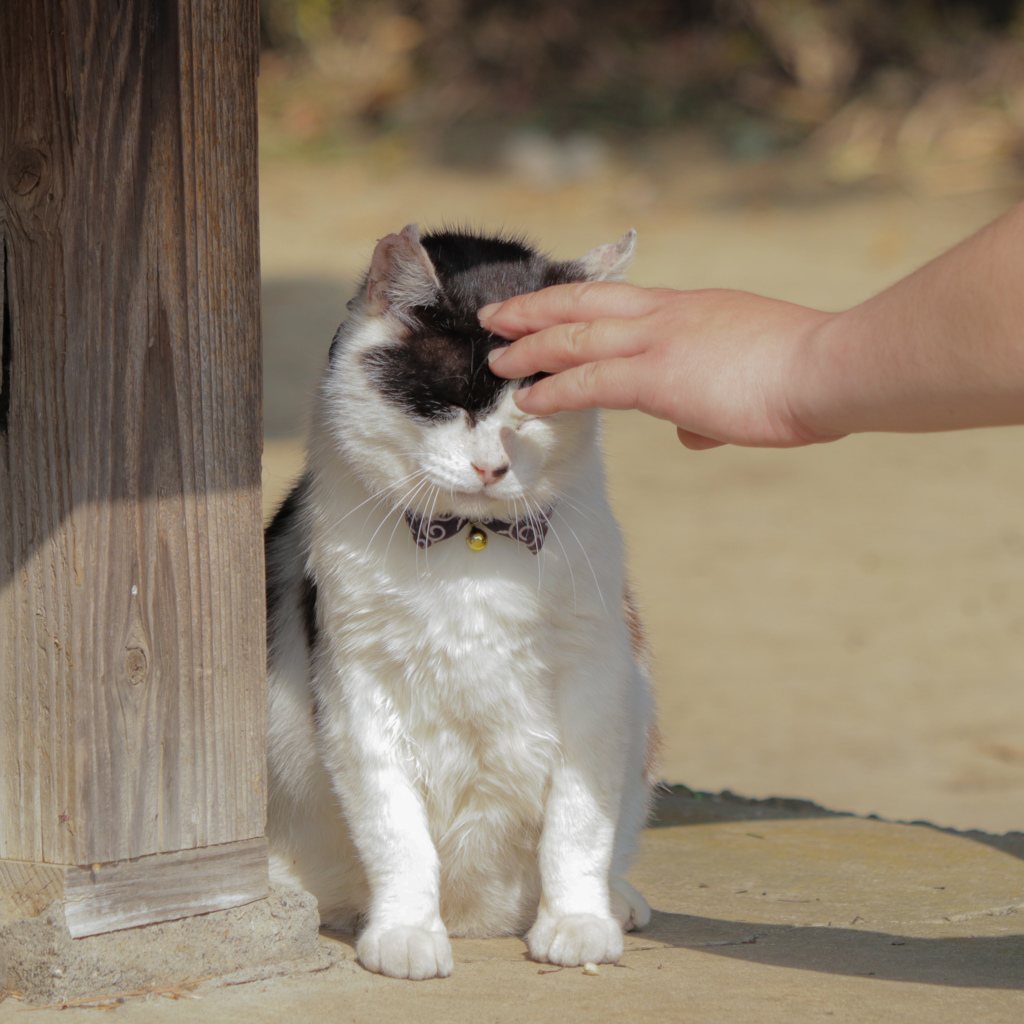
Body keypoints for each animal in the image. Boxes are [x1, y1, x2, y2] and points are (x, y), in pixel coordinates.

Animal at [264, 222, 655, 974]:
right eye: (452, 401)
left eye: (532, 408)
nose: (491, 466)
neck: (471, 543)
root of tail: (484, 919)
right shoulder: (358, 691)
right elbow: (397, 833)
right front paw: (406, 932)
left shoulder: (595, 677)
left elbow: (578, 822)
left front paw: (577, 920)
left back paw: (616, 901)